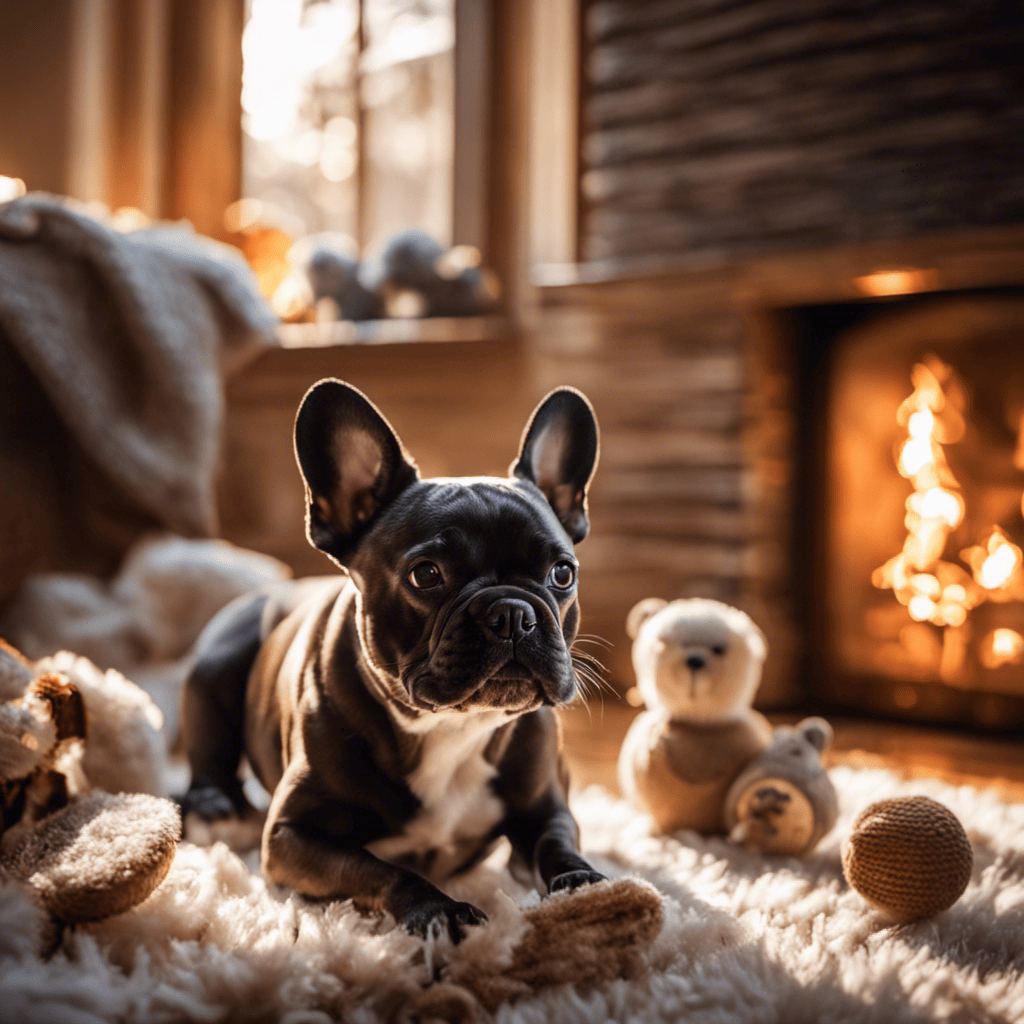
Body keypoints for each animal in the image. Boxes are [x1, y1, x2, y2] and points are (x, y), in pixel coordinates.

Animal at [180, 380, 606, 937]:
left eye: (562, 573)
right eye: (426, 574)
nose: (513, 613)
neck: (449, 728)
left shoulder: (546, 808)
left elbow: (556, 845)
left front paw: (585, 884)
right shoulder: (291, 837)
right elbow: (379, 870)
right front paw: (440, 911)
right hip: (218, 666)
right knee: (208, 759)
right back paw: (216, 809)